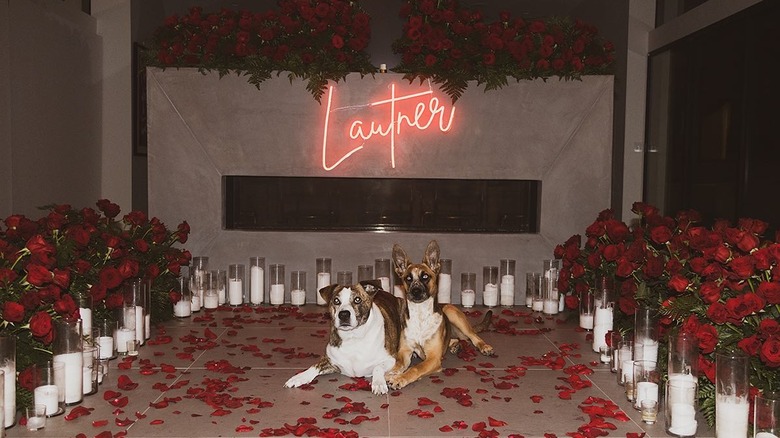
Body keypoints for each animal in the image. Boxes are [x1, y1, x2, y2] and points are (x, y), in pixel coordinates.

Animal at [386, 240, 494, 390]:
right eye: (408, 278)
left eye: (425, 276)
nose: (415, 291)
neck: (420, 316)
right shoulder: (404, 353)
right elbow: (397, 365)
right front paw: (389, 374)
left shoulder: (433, 358)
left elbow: (415, 368)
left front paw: (400, 379)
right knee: (460, 339)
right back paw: (455, 345)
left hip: (451, 312)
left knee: (473, 336)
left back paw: (483, 346)